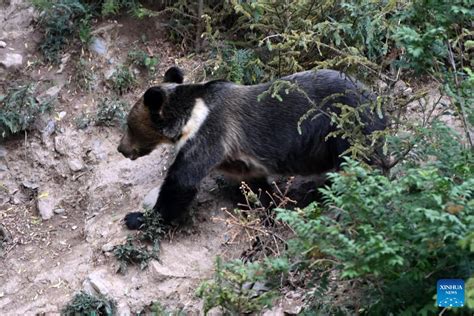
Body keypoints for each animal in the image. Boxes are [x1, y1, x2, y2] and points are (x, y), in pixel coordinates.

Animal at [117, 67, 386, 230]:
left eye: (129, 125)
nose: (121, 148)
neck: (191, 116)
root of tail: (374, 97)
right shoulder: (238, 159)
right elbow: (255, 184)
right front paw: (268, 209)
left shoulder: (210, 133)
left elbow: (182, 181)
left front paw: (137, 217)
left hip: (344, 123)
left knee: (358, 161)